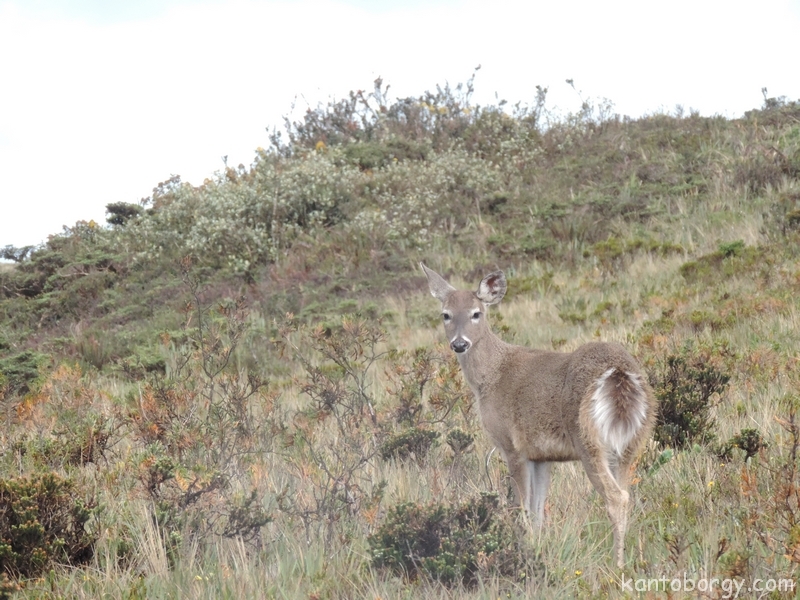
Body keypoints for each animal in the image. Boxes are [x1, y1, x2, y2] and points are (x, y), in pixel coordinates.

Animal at [422, 264, 652, 568]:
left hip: (588, 440)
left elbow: (522, 508)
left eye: (476, 313)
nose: (459, 344)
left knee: (617, 498)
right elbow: (538, 512)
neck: (490, 377)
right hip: (632, 443)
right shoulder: (541, 455)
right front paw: (539, 548)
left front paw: (525, 552)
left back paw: (617, 566)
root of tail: (619, 373)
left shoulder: (512, 446)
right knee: (628, 493)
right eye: (446, 314)